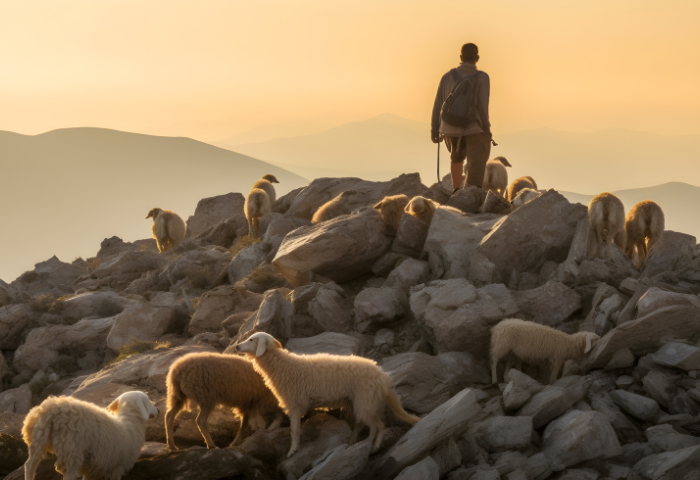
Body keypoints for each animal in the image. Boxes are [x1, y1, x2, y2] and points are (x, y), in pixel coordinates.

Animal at [23, 390, 159, 480]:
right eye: (147, 400)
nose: (158, 409)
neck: (130, 422)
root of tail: (53, 410)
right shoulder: (116, 468)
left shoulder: (94, 471)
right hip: (72, 450)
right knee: (68, 475)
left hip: (39, 437)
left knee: (29, 465)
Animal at [235, 332, 422, 460]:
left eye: (252, 339)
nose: (236, 347)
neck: (282, 366)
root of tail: (383, 376)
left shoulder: (294, 404)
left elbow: (294, 431)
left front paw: (292, 451)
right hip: (361, 401)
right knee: (364, 424)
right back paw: (357, 443)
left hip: (365, 399)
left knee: (379, 425)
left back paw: (373, 446)